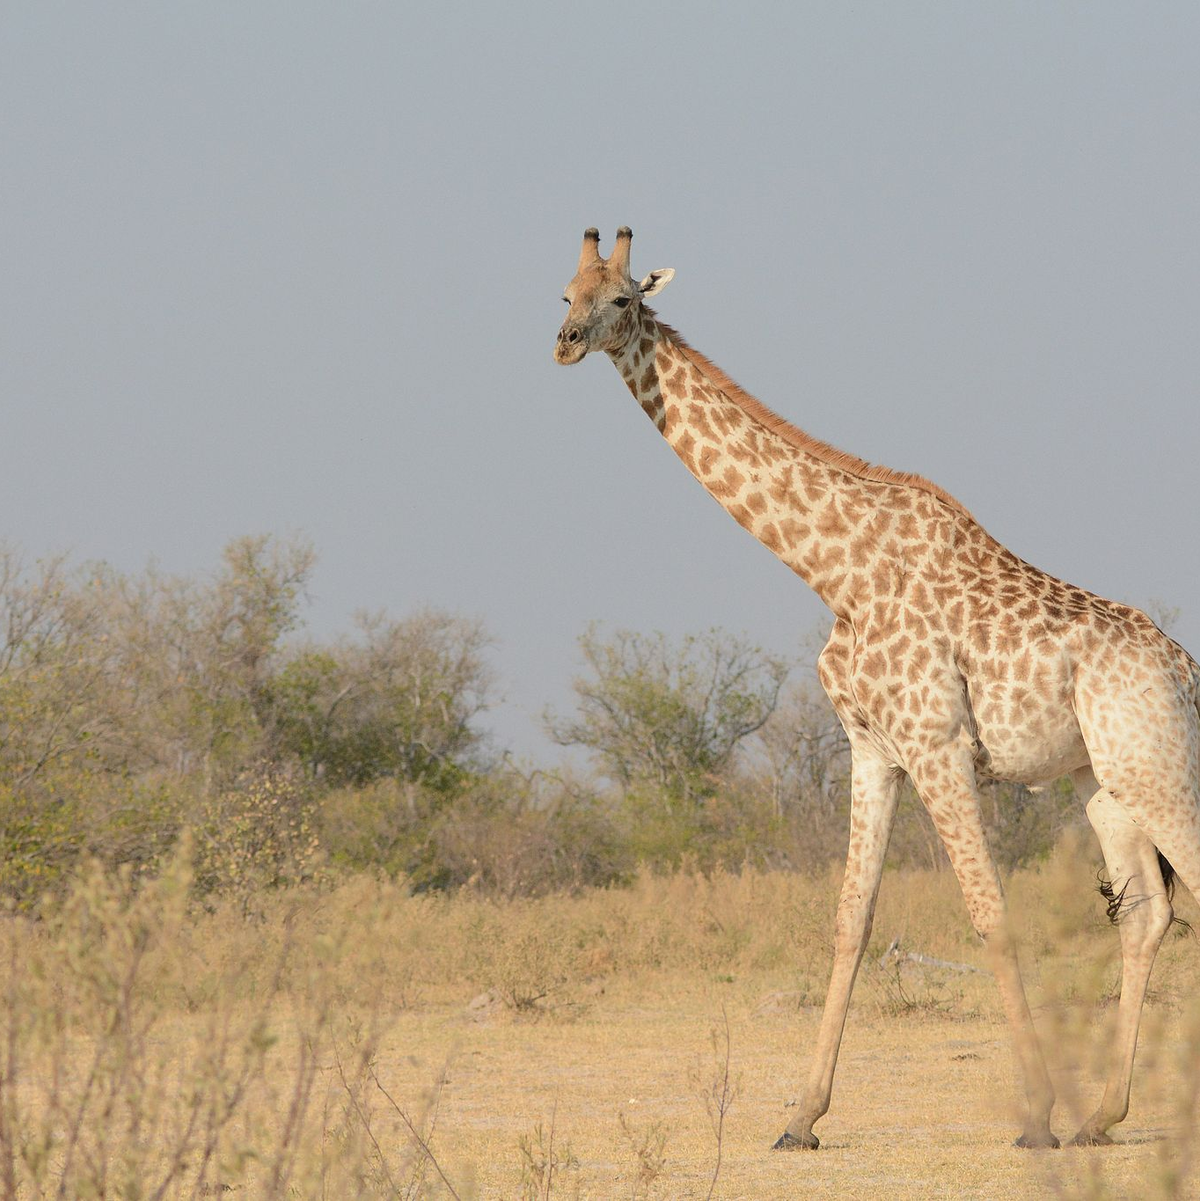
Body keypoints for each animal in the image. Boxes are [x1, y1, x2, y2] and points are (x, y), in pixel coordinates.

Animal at [554, 226, 1200, 1150]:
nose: (567, 343)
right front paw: (800, 1117)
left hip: (1157, 765)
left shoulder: (938, 745)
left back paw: (1089, 1118)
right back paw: (1104, 1116)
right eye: (562, 292)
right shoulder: (872, 748)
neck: (836, 571)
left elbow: (990, 913)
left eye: (621, 299)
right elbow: (851, 916)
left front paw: (1037, 1116)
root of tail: (1183, 667)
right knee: (1146, 911)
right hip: (1106, 780)